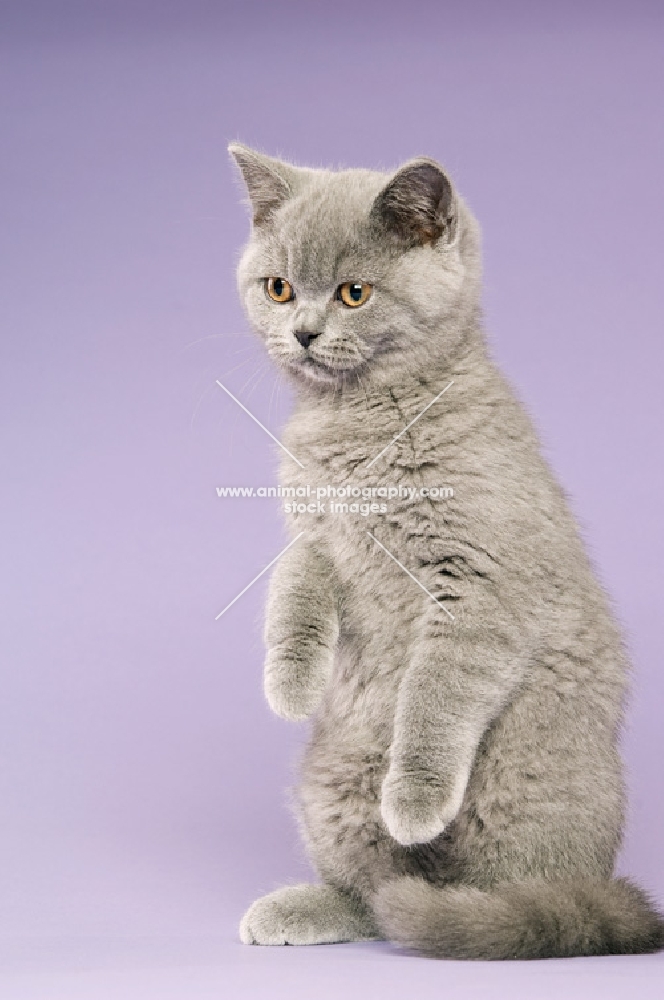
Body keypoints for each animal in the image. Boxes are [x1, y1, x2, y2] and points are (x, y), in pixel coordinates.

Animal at [230, 145, 664, 956]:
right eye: (278, 288)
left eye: (354, 293)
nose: (302, 332)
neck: (358, 419)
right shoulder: (313, 533)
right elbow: (294, 590)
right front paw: (290, 684)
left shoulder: (476, 581)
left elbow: (436, 694)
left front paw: (415, 799)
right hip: (332, 777)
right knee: (375, 893)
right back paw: (314, 906)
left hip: (522, 781)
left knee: (504, 894)